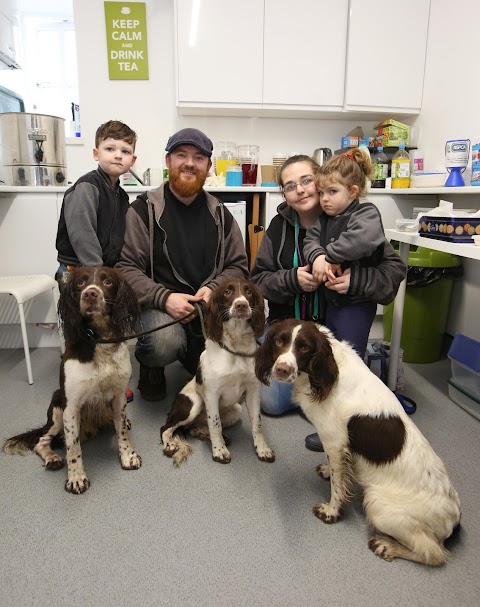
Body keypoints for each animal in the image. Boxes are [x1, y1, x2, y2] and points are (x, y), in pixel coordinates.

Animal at [3, 266, 142, 494]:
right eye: (80, 283)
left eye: (108, 282)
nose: (90, 294)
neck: (99, 339)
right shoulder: (71, 407)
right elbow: (73, 447)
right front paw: (76, 478)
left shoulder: (120, 397)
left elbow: (121, 431)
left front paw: (128, 456)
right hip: (57, 407)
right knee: (41, 441)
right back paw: (52, 458)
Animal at [160, 278, 274, 468]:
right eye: (227, 292)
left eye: (249, 292)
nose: (242, 305)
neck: (236, 346)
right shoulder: (212, 394)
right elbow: (215, 425)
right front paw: (219, 451)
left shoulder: (252, 391)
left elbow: (257, 424)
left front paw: (263, 450)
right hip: (194, 403)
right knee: (166, 427)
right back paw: (170, 444)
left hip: (235, 410)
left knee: (194, 429)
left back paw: (203, 433)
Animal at [255, 320, 462, 568]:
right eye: (279, 341)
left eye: (304, 348)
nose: (282, 370)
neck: (328, 371)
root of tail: (454, 517)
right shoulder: (337, 446)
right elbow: (339, 471)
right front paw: (328, 472)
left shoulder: (334, 440)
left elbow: (337, 485)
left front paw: (331, 512)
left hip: (378, 504)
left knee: (433, 553)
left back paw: (386, 546)